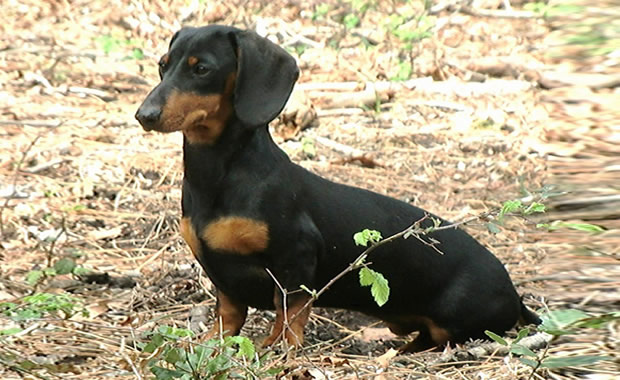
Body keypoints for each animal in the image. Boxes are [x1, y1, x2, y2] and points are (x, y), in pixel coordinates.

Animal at [134, 24, 536, 350]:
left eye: (201, 69)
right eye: (162, 65)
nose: (144, 115)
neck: (219, 175)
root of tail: (515, 295)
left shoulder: (296, 258)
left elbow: (288, 313)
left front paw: (278, 349)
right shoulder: (221, 273)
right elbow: (229, 317)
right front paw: (210, 344)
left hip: (454, 321)